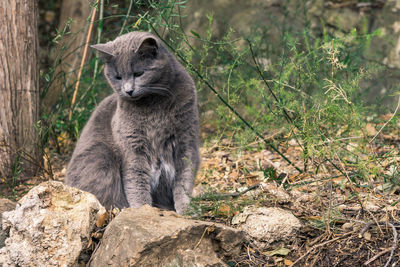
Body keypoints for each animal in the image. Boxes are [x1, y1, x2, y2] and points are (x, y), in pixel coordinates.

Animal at [67, 31, 202, 216]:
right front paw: (143, 210)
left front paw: (186, 211)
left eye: (139, 73)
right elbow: (136, 181)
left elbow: (184, 180)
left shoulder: (186, 140)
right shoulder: (133, 146)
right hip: (101, 157)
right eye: (117, 77)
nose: (128, 90)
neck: (153, 105)